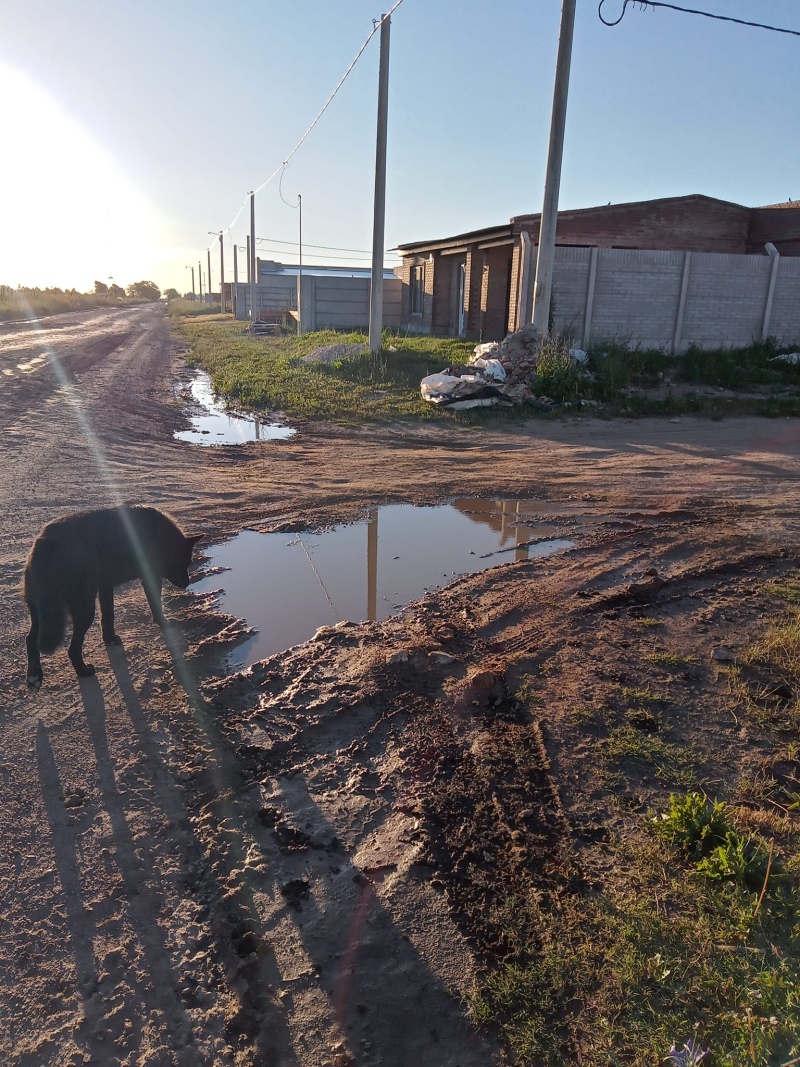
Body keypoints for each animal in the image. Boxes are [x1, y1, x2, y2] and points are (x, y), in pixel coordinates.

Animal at [26, 505, 204, 687]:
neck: (161, 535)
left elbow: (108, 617)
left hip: (42, 613)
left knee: (30, 639)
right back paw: (83, 671)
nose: (187, 583)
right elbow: (156, 607)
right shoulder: (150, 580)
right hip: (85, 610)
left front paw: (109, 639)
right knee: (73, 649)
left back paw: (34, 675)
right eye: (185, 562)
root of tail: (45, 543)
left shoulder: (106, 587)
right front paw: (163, 623)